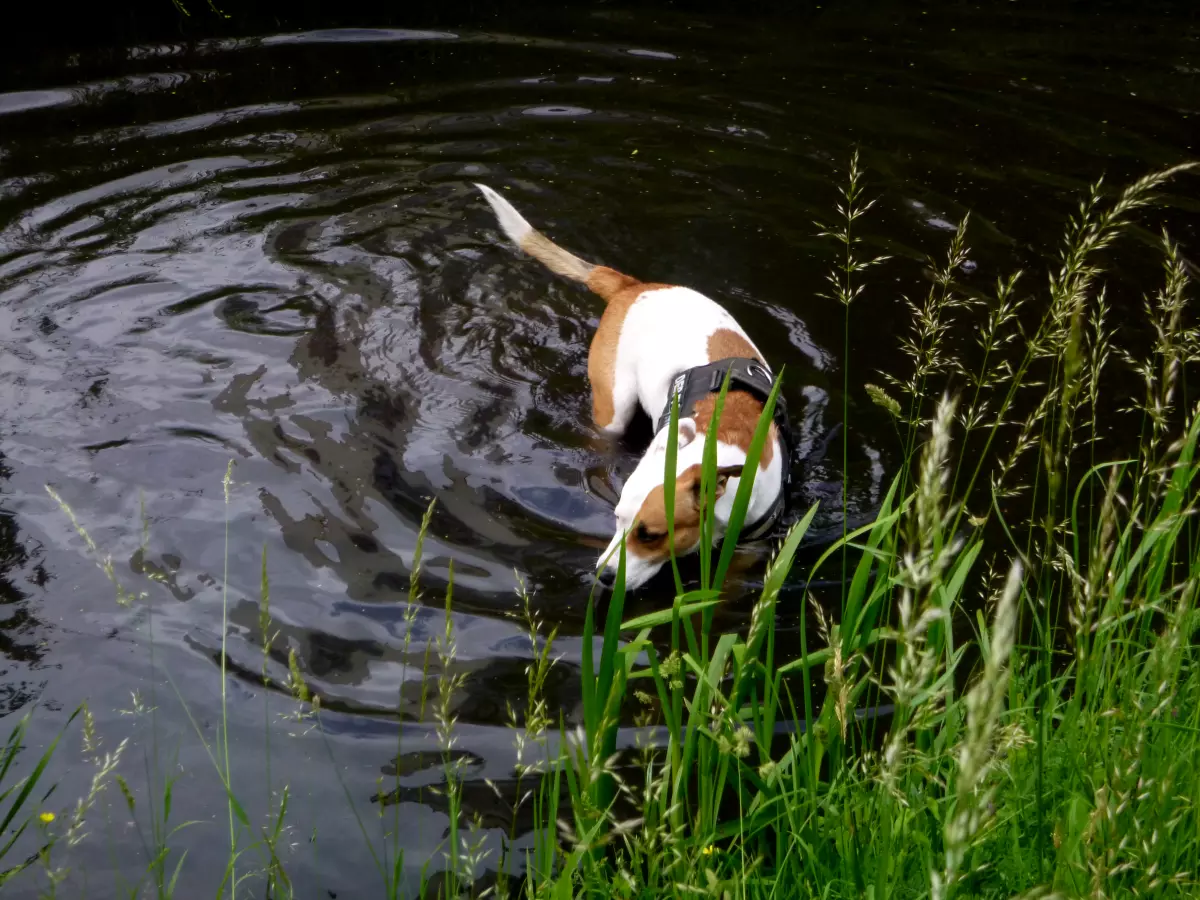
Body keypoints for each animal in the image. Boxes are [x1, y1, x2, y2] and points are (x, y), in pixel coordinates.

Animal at [477, 184, 787, 592]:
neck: (716, 444)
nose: (604, 576)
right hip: (613, 409)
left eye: (649, 535)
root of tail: (631, 286)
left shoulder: (748, 547)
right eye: (617, 518)